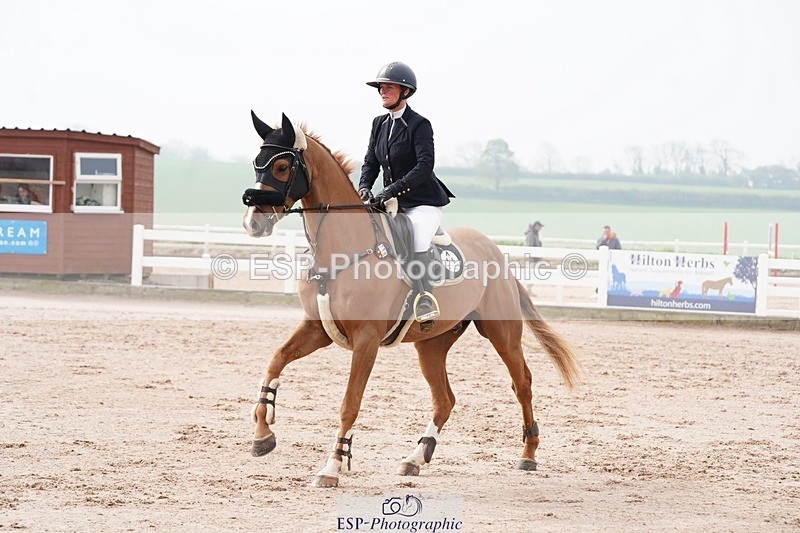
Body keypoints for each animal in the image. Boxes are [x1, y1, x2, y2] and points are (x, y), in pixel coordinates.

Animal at [241, 112, 582, 488]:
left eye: (282, 166)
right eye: (257, 163)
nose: (253, 223)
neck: (342, 251)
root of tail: (496, 252)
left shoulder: (366, 339)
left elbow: (350, 402)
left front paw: (331, 467)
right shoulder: (317, 328)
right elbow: (275, 360)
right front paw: (262, 433)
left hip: (501, 332)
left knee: (522, 383)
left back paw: (528, 455)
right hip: (431, 344)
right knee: (444, 399)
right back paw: (415, 457)